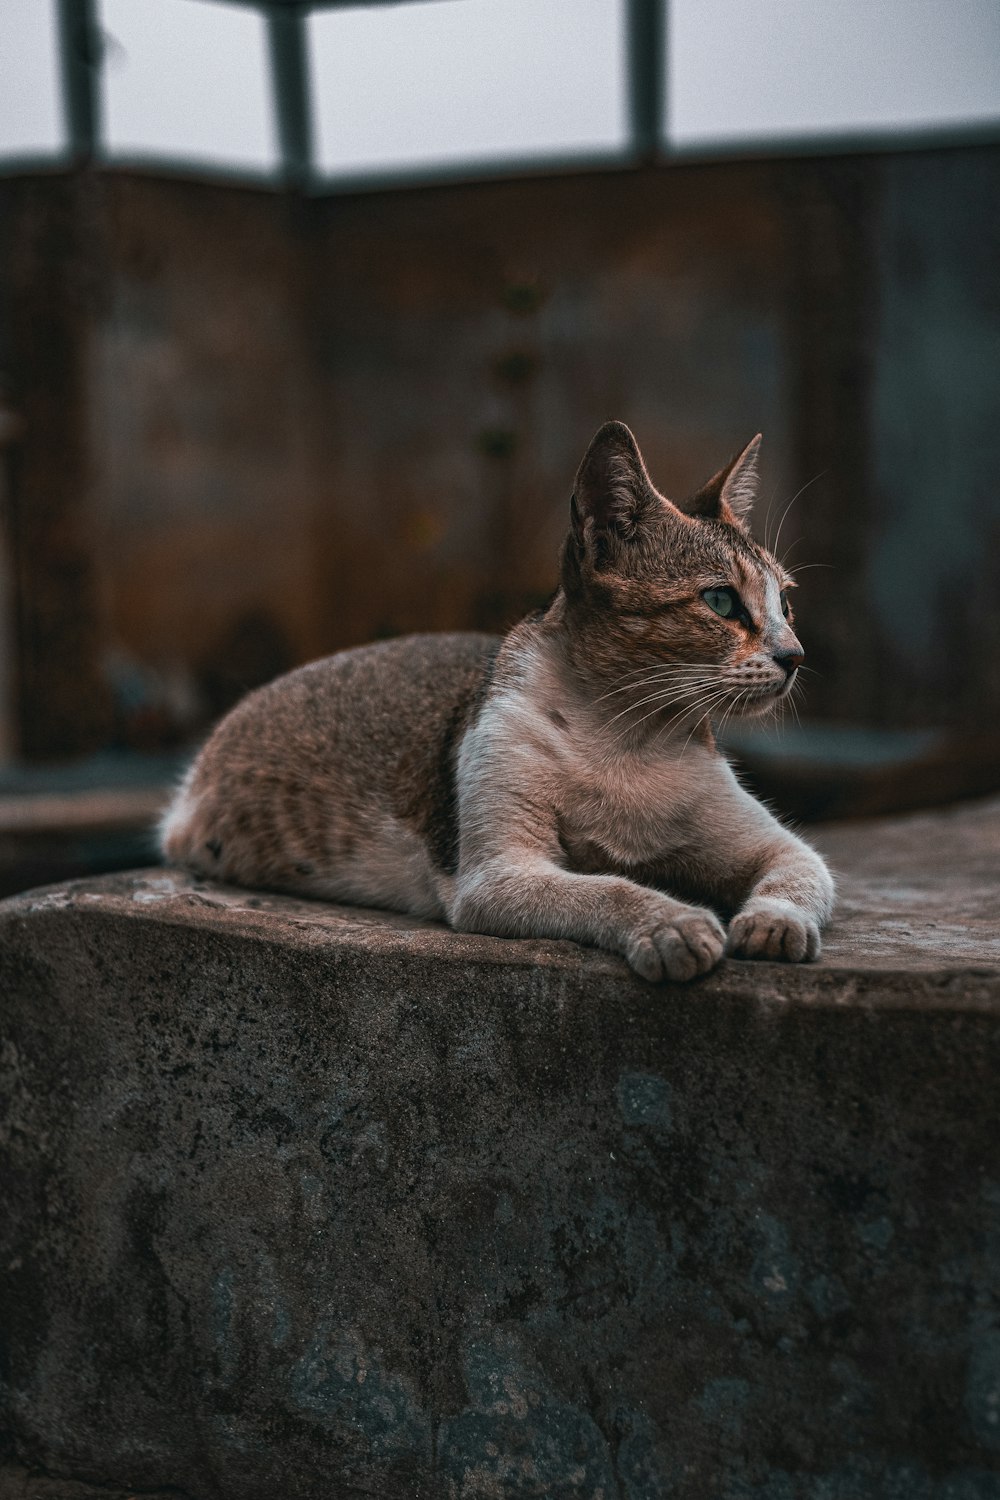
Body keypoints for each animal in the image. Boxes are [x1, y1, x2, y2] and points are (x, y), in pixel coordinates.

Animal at [162, 426, 839, 984]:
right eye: (722, 602)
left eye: (786, 604)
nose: (795, 655)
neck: (628, 740)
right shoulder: (497, 875)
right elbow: (606, 889)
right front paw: (671, 922)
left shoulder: (783, 849)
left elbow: (799, 871)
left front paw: (773, 924)